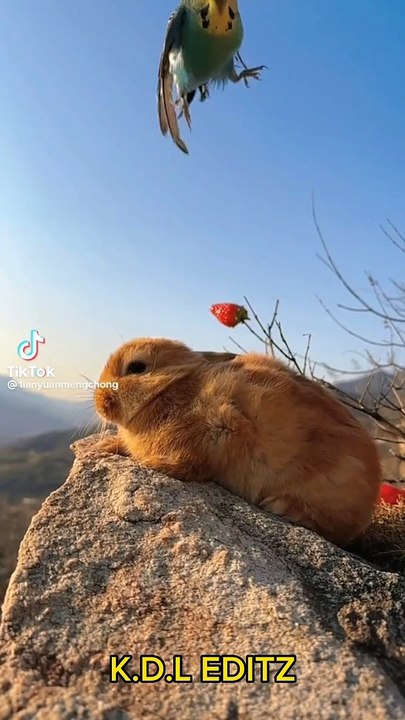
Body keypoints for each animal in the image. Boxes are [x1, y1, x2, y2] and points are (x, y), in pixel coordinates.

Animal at [94, 337, 382, 546]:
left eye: (136, 367)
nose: (100, 402)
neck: (169, 389)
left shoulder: (219, 431)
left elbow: (191, 465)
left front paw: (149, 462)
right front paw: (104, 447)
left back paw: (282, 506)